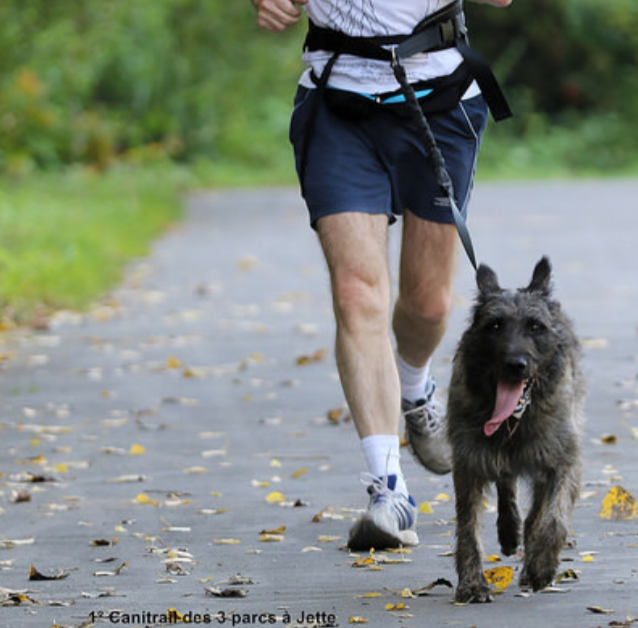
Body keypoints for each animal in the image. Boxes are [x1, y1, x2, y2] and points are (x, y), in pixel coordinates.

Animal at [450, 256, 584, 604]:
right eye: (494, 325)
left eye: (535, 327)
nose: (515, 364)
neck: (515, 421)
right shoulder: (469, 461)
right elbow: (468, 527)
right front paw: (472, 584)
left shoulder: (563, 461)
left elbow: (553, 519)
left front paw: (541, 565)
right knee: (506, 482)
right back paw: (510, 531)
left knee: (537, 506)